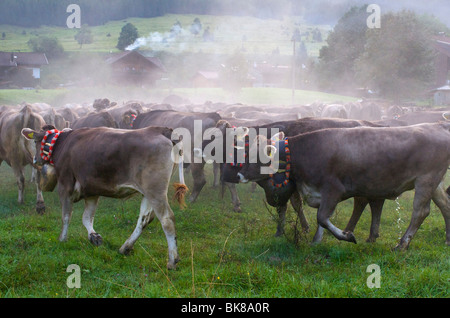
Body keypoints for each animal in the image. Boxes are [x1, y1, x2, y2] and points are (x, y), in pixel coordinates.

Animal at [20, 124, 186, 268]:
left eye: (35, 141)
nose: (35, 159)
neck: (63, 143)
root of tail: (161, 130)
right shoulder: (92, 191)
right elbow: (87, 218)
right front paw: (94, 237)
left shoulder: (65, 186)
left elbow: (66, 216)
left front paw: (62, 239)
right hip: (148, 193)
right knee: (144, 219)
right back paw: (125, 248)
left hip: (155, 190)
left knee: (167, 219)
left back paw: (172, 260)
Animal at [237, 123, 450, 250]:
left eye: (257, 156)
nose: (239, 175)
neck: (306, 151)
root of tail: (436, 126)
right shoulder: (320, 193)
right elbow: (321, 220)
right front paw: (316, 241)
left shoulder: (333, 189)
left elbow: (322, 217)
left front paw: (346, 236)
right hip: (436, 184)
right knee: (445, 206)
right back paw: (447, 239)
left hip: (425, 181)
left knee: (420, 212)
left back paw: (402, 245)